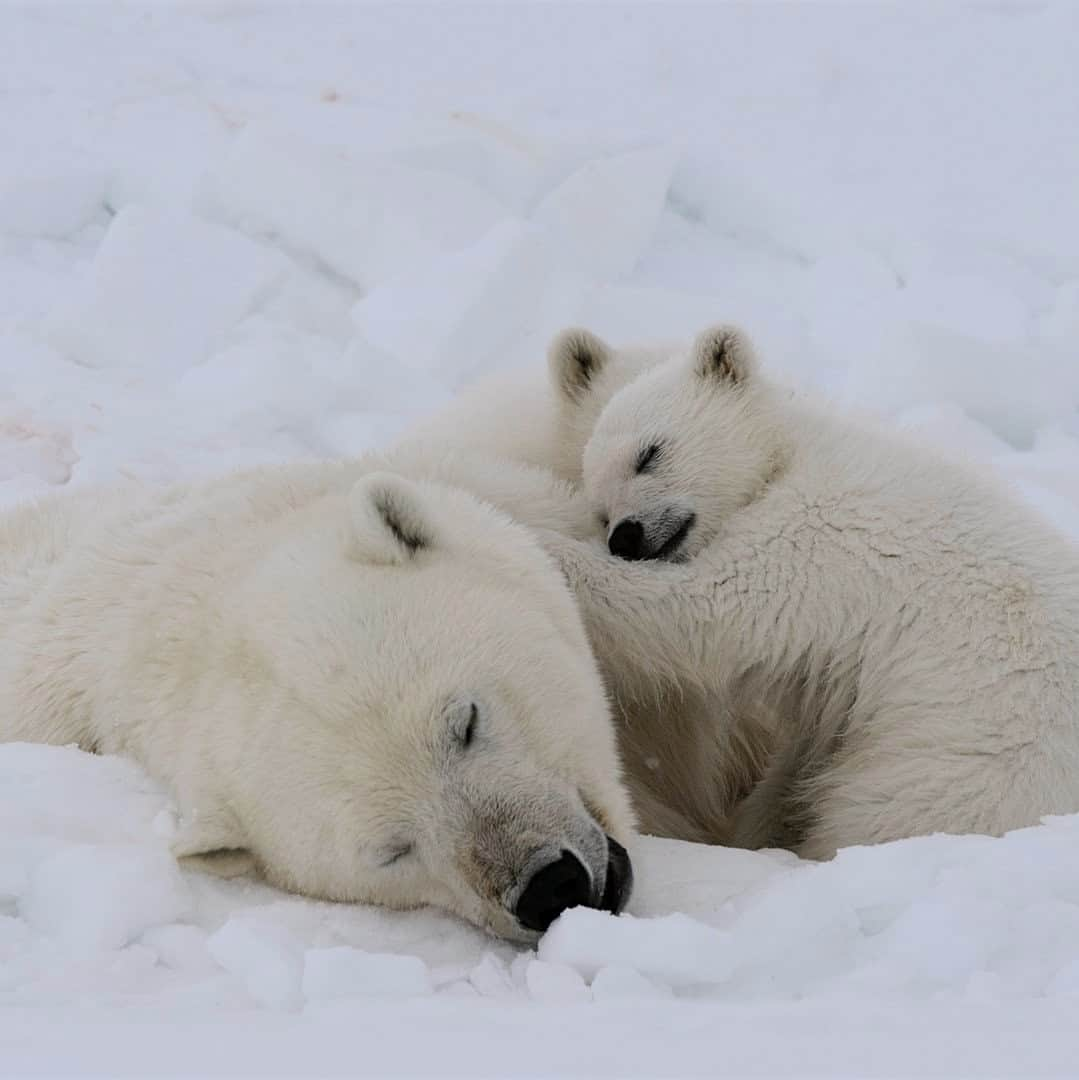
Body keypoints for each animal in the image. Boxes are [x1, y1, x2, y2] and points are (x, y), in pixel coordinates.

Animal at [544, 324, 1079, 855]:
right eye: (599, 507)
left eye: (648, 454)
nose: (624, 537)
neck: (792, 451)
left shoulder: (818, 526)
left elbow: (706, 608)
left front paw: (546, 543)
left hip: (965, 760)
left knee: (883, 813)